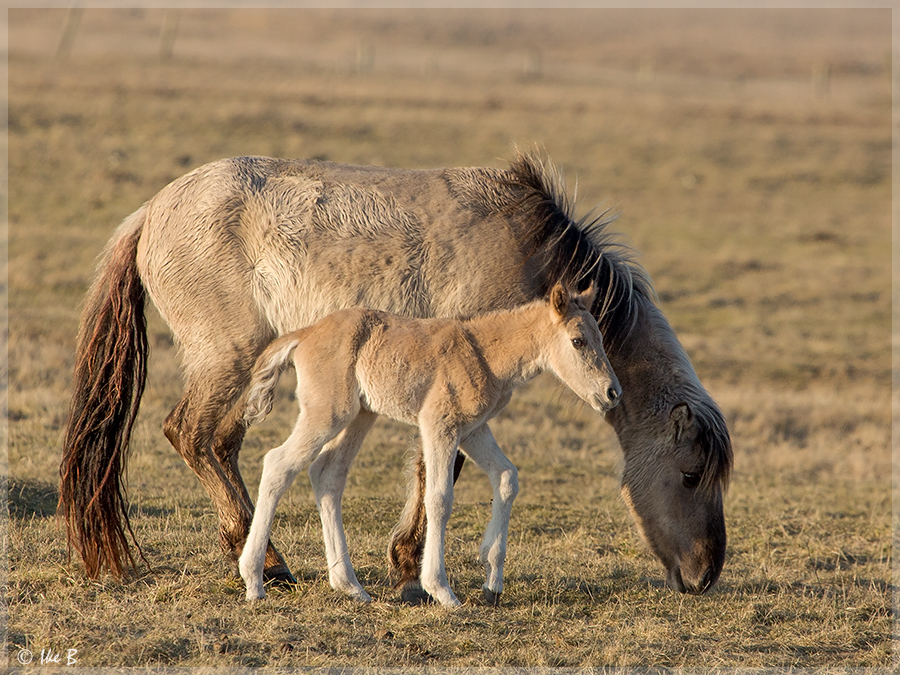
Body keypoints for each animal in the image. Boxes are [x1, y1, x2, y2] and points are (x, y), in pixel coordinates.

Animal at [237, 282, 620, 608]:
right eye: (578, 341)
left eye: (601, 337)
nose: (612, 393)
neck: (484, 353)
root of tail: (305, 334)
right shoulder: (439, 425)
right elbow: (439, 498)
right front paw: (442, 591)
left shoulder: (474, 431)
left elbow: (507, 478)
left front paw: (492, 583)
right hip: (328, 412)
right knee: (279, 464)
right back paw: (254, 581)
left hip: (361, 415)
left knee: (327, 474)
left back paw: (351, 586)